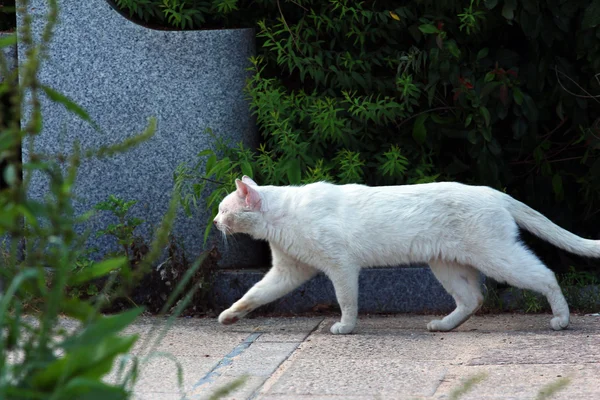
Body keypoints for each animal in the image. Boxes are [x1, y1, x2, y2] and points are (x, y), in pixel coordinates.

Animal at [213, 177, 596, 332]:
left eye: (222, 209)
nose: (214, 221)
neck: (279, 219)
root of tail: (493, 192)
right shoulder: (287, 271)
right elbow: (254, 295)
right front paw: (229, 316)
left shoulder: (341, 266)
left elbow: (346, 300)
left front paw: (345, 328)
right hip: (446, 265)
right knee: (473, 298)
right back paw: (442, 326)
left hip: (498, 257)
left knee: (545, 275)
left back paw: (562, 320)